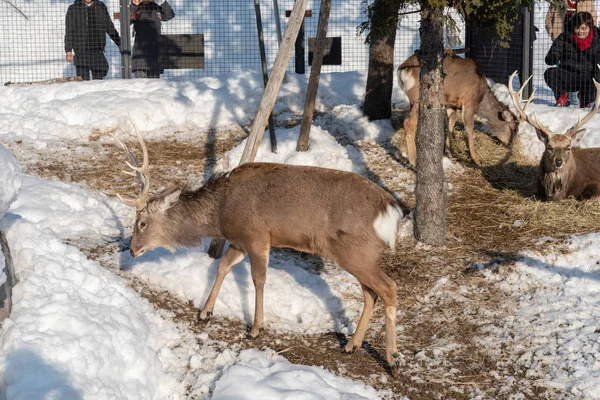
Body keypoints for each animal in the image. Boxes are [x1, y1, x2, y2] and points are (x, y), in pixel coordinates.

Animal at [112, 126, 406, 372]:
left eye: (142, 223)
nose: (132, 250)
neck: (221, 211)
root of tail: (390, 209)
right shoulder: (239, 241)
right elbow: (222, 266)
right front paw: (205, 313)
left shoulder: (256, 236)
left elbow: (258, 279)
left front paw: (255, 328)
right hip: (360, 253)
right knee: (371, 292)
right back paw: (350, 345)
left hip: (354, 250)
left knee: (388, 287)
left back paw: (392, 359)